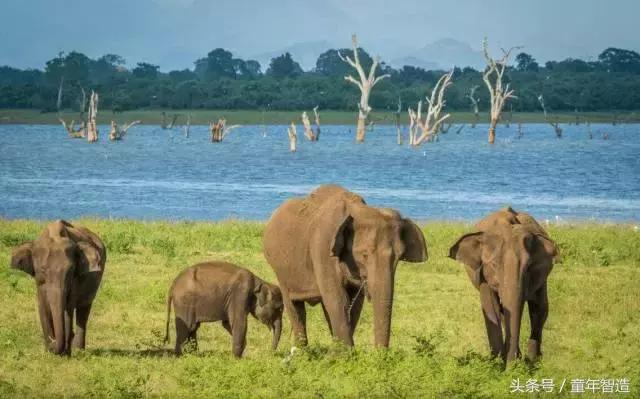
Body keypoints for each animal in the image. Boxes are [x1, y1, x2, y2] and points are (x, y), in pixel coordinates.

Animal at [10, 222, 105, 356]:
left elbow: (68, 308)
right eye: (43, 270)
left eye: (70, 270)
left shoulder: (74, 280)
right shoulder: (39, 283)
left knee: (84, 310)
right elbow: (43, 306)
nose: (52, 340)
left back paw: (79, 351)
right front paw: (49, 352)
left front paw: (65, 354)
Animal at [262, 186, 428, 348]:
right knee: (294, 306)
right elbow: (338, 299)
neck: (357, 209)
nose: (379, 353)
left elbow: (354, 303)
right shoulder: (322, 249)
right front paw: (346, 353)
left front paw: (341, 351)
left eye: (398, 257)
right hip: (280, 268)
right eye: (364, 255)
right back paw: (302, 351)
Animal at [448, 208, 556, 364]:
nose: (512, 365)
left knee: (540, 308)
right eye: (494, 264)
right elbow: (491, 308)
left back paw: (533, 360)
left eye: (528, 267)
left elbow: (528, 309)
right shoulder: (483, 273)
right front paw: (496, 362)